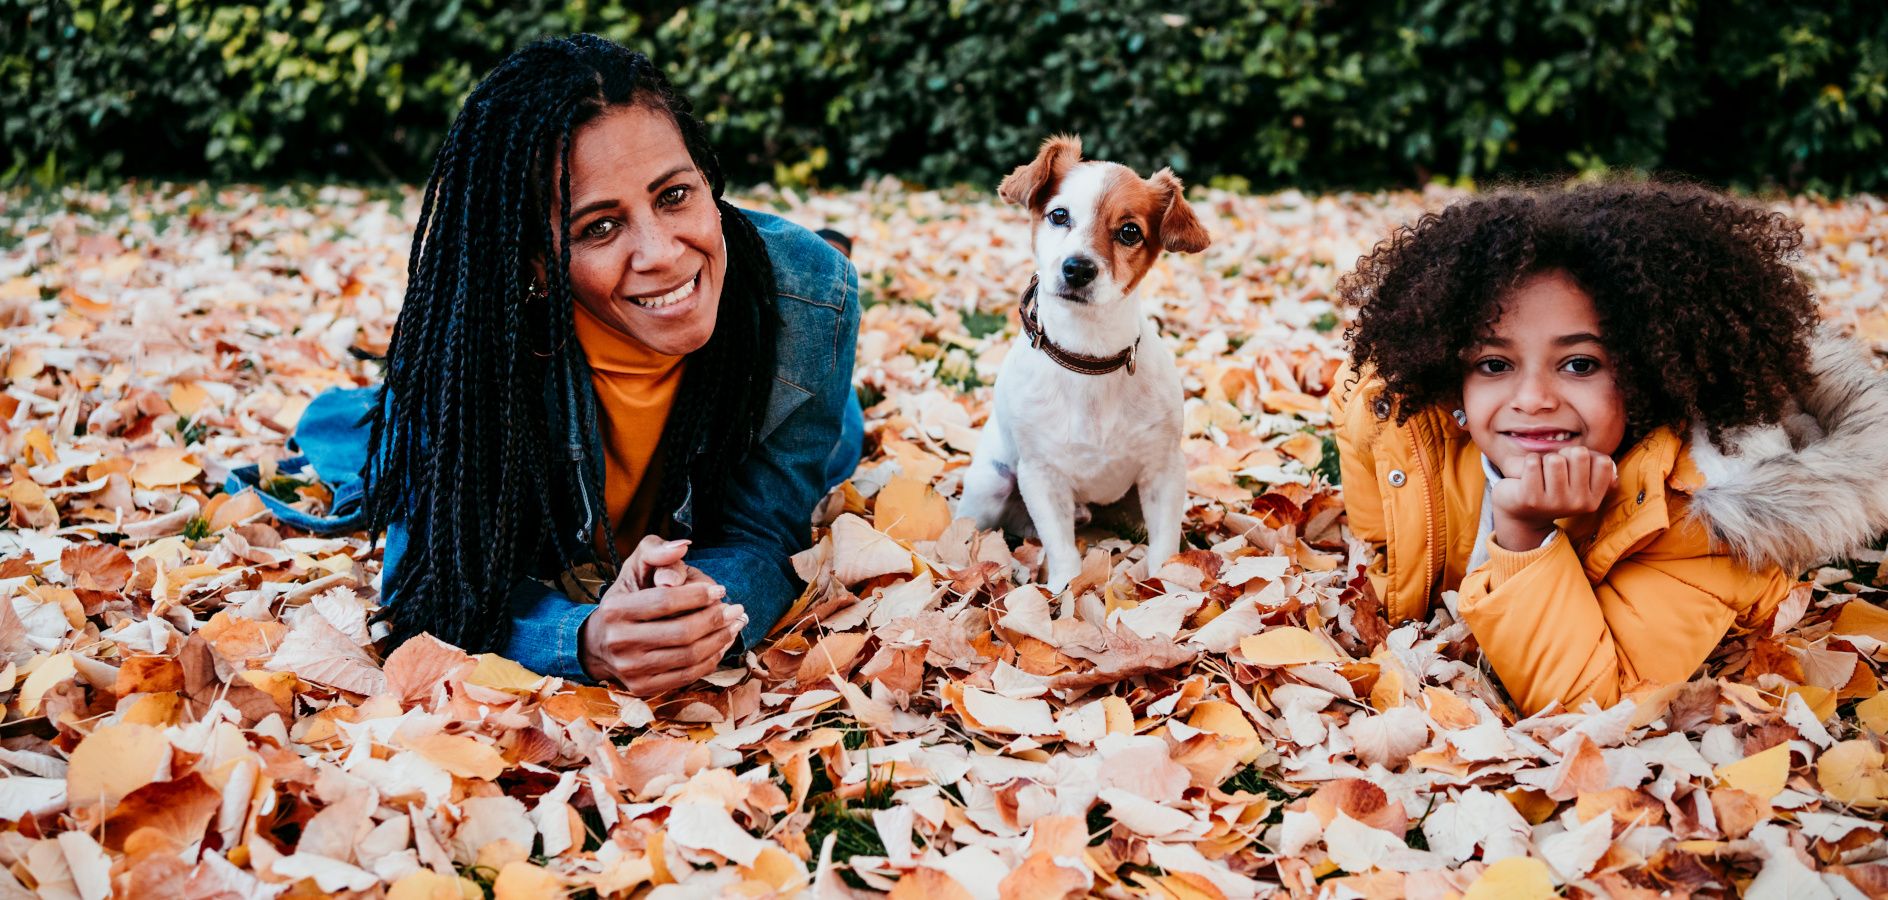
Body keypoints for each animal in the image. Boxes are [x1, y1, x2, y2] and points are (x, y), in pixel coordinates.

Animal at [959, 136, 1208, 592]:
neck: (1089, 359)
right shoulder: (1041, 476)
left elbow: (1165, 545)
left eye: (1129, 231)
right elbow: (1062, 550)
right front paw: (1065, 593)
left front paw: (1165, 589)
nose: (1077, 268)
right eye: (1059, 215)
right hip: (992, 484)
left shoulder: (1163, 471)